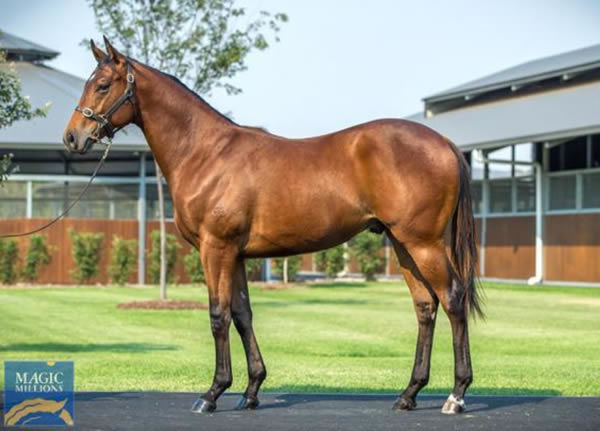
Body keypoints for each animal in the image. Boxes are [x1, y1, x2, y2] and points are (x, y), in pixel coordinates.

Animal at [63, 38, 480, 416]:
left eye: (103, 85)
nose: (72, 137)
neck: (205, 153)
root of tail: (444, 143)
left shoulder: (216, 248)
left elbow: (218, 315)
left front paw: (213, 393)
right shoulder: (236, 255)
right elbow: (242, 315)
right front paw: (251, 391)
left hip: (423, 243)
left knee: (452, 299)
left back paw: (456, 395)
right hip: (403, 245)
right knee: (425, 306)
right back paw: (409, 394)